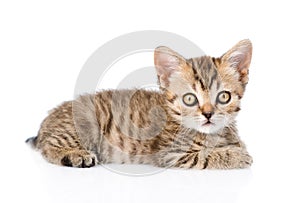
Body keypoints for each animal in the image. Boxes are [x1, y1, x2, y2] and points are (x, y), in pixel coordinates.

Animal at [25, 40, 252, 170]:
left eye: (223, 97)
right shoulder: (171, 154)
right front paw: (237, 156)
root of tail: (48, 119)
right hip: (83, 126)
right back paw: (76, 155)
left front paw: (236, 146)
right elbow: (205, 156)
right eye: (190, 99)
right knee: (49, 146)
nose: (208, 114)